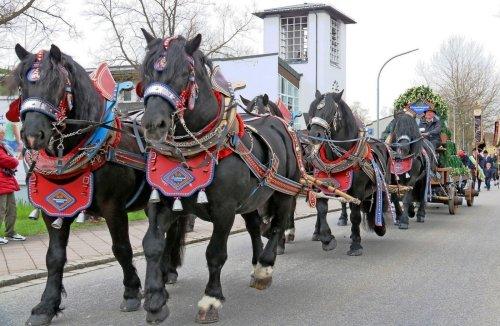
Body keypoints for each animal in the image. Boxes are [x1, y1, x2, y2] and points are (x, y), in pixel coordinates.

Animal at [11, 44, 148, 326]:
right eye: (21, 85)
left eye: (57, 83)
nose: (32, 136)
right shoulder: (53, 208)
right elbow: (54, 257)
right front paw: (46, 306)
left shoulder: (113, 206)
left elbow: (121, 248)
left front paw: (131, 292)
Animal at [139, 32, 298, 324]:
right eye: (145, 72)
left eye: (185, 73)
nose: (153, 124)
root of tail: (280, 124)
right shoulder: (166, 201)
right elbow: (152, 244)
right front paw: (155, 300)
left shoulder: (224, 210)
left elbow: (215, 253)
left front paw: (211, 299)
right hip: (251, 200)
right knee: (254, 226)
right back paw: (257, 262)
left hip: (283, 191)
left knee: (279, 223)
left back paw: (264, 267)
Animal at [306, 90, 392, 256]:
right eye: (313, 109)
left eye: (332, 111)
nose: (314, 135)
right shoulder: (321, 185)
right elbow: (322, 209)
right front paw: (327, 238)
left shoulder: (357, 190)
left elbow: (355, 216)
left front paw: (356, 245)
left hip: (383, 182)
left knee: (383, 200)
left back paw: (380, 227)